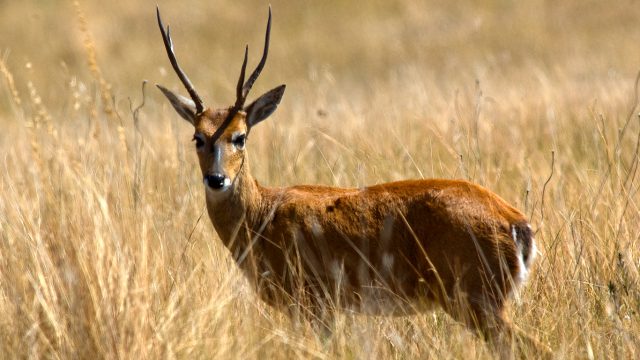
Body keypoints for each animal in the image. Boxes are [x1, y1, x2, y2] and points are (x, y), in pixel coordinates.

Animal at [154, 5, 552, 358]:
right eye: (197, 137)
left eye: (240, 136)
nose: (216, 179)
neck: (262, 215)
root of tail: (516, 222)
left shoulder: (315, 304)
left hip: (477, 302)